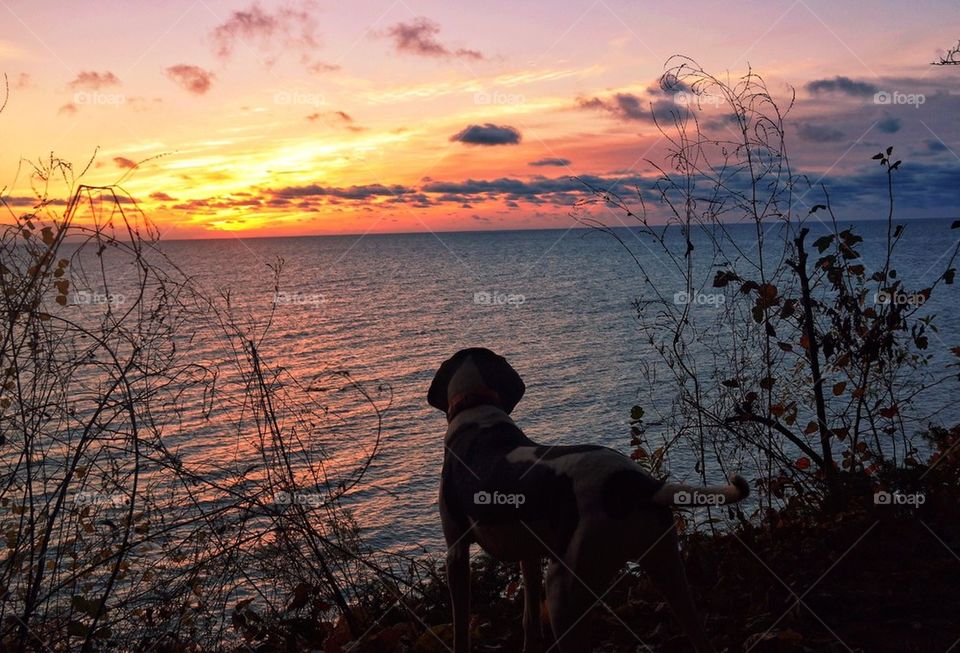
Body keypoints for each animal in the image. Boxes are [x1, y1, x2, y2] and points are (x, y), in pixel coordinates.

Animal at [430, 348, 752, 648]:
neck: (475, 407)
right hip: (668, 568)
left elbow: (460, 629)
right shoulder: (529, 553)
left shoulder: (456, 551)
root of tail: (635, 483)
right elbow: (529, 620)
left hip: (563, 587)